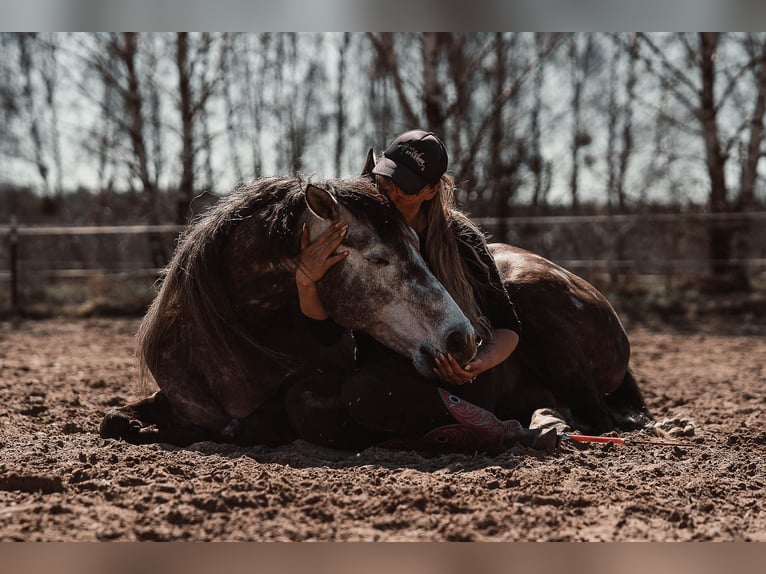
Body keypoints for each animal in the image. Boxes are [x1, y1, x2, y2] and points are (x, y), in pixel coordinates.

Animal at [100, 173, 649, 448]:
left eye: (419, 247)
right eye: (381, 258)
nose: (462, 340)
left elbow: (265, 419)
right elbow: (113, 421)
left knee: (599, 417)